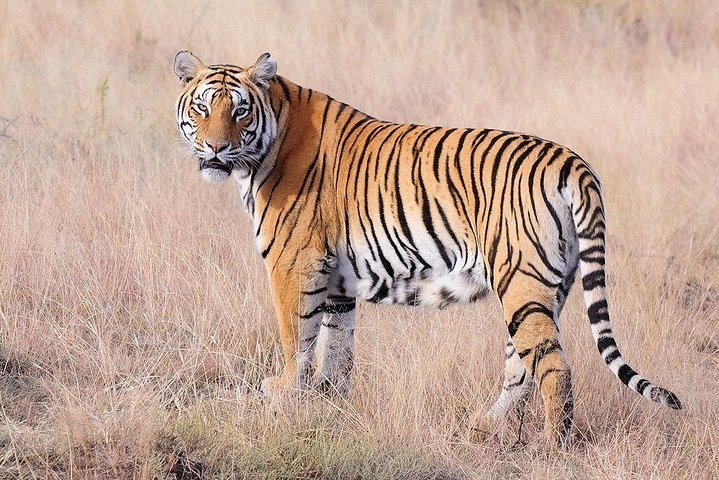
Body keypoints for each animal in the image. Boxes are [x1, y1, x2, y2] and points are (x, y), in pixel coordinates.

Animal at [172, 51, 681, 446]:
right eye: (202, 108)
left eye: (239, 112)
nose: (215, 149)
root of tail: (572, 161)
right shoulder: (335, 281)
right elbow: (336, 350)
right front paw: (328, 407)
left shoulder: (293, 265)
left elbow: (295, 336)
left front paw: (282, 396)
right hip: (548, 286)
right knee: (522, 366)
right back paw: (484, 426)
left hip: (521, 281)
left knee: (554, 367)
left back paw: (555, 446)